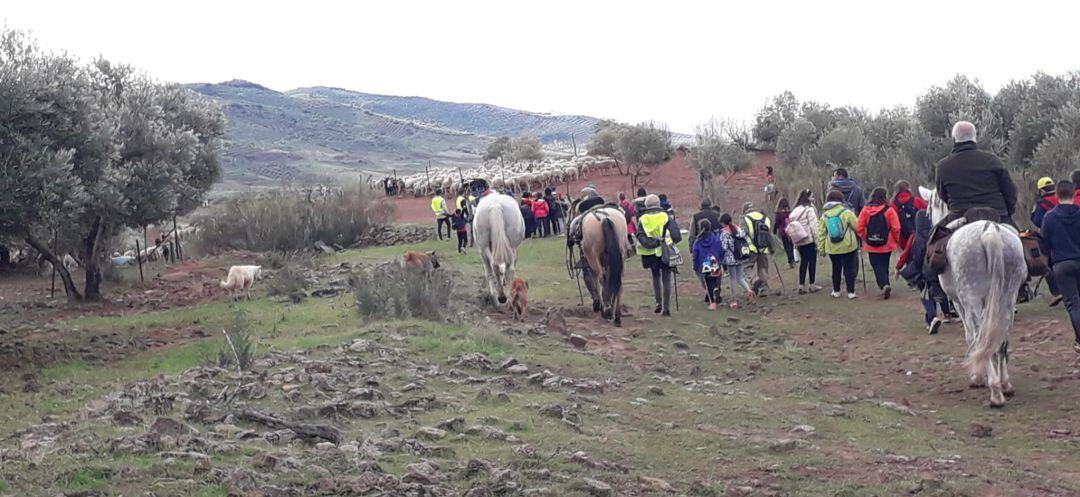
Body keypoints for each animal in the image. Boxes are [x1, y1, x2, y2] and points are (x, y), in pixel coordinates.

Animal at [920, 185, 1028, 408]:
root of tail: (989, 230)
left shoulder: (959, 303)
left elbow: (970, 335)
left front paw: (978, 377)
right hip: (1007, 297)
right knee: (1001, 338)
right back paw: (1005, 384)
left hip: (970, 298)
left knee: (979, 335)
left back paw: (995, 391)